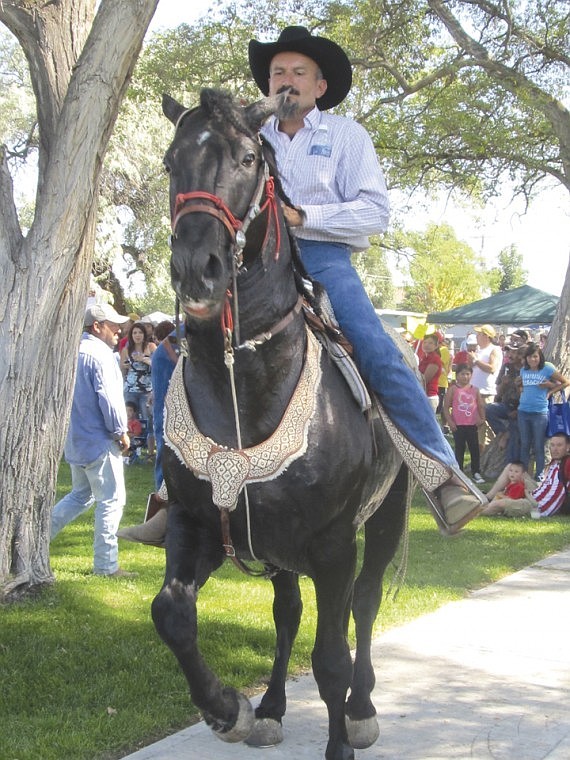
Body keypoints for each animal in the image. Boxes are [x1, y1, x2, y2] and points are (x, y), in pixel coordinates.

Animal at [151, 90, 408, 760]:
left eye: (247, 159)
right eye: (169, 162)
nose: (197, 267)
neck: (244, 383)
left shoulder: (335, 545)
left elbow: (332, 659)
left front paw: (341, 739)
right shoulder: (196, 523)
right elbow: (171, 612)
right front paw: (227, 709)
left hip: (387, 516)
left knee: (365, 605)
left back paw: (363, 709)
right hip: (278, 552)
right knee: (288, 612)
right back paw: (268, 707)